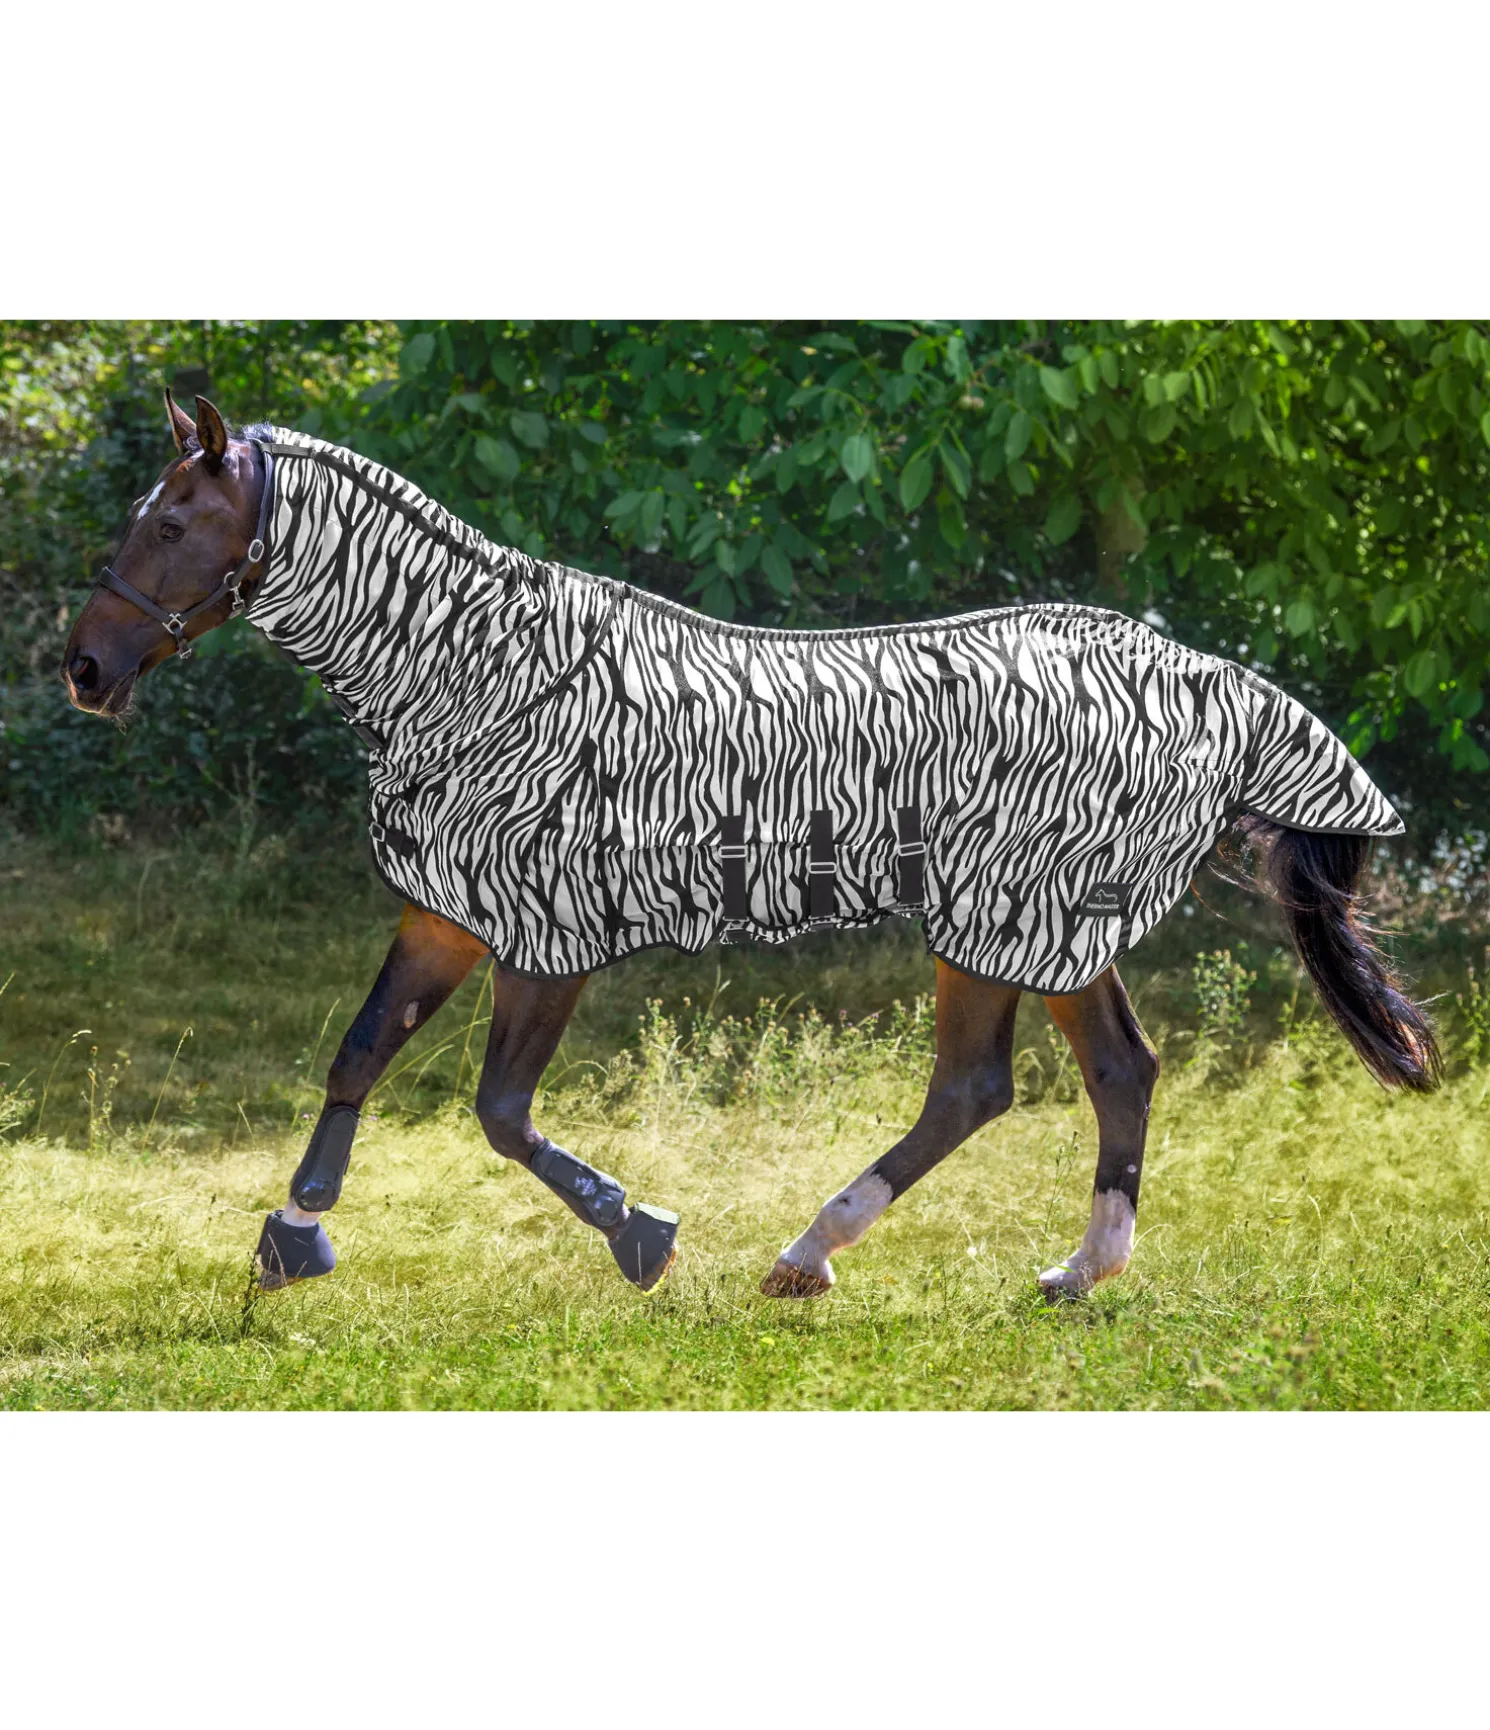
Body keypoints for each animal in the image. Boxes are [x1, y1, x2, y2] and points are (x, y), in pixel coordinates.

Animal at [61, 391, 1442, 1302]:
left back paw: (812, 1252)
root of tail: (1207, 680)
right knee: (1109, 1072)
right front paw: (294, 1232)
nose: (83, 670)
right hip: (1043, 927)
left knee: (980, 1087)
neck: (475, 676)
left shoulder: (548, 937)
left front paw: (639, 1231)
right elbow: (357, 1055)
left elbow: (500, 1112)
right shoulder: (445, 910)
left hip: (1002, 922)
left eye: (173, 524)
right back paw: (1068, 1271)